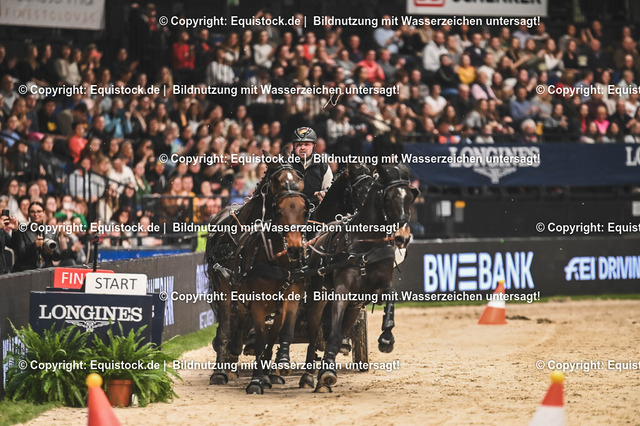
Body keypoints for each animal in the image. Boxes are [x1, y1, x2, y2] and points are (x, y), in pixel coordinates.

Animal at [300, 163, 419, 392]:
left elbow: (391, 297)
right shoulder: (341, 292)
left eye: (410, 198)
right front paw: (326, 372)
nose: (403, 237)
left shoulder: (376, 290)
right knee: (314, 332)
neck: (364, 247)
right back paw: (308, 374)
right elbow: (332, 333)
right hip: (317, 300)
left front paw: (386, 339)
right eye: (387, 198)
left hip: (353, 309)